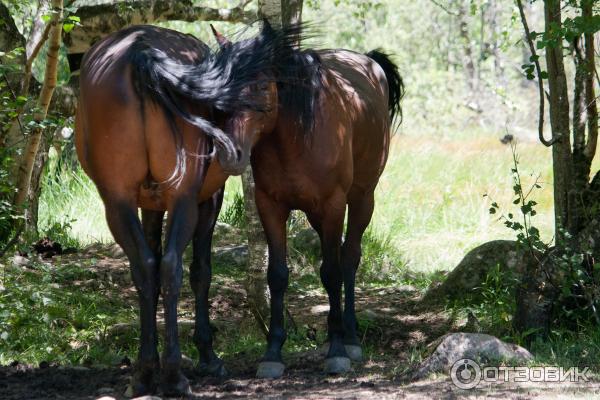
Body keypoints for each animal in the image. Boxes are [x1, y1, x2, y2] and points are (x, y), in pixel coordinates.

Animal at [73, 25, 286, 396]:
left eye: (261, 87)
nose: (232, 155)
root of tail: (139, 51)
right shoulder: (206, 200)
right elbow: (201, 272)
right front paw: (207, 354)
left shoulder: (148, 205)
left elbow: (152, 265)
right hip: (184, 199)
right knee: (173, 266)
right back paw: (174, 375)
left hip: (117, 202)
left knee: (145, 268)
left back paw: (145, 372)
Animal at [211, 23, 404, 380]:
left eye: (262, 84)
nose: (230, 153)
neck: (297, 138)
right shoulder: (270, 207)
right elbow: (277, 275)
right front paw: (273, 353)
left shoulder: (332, 206)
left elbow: (331, 272)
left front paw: (337, 350)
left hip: (361, 200)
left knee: (349, 258)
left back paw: (350, 336)